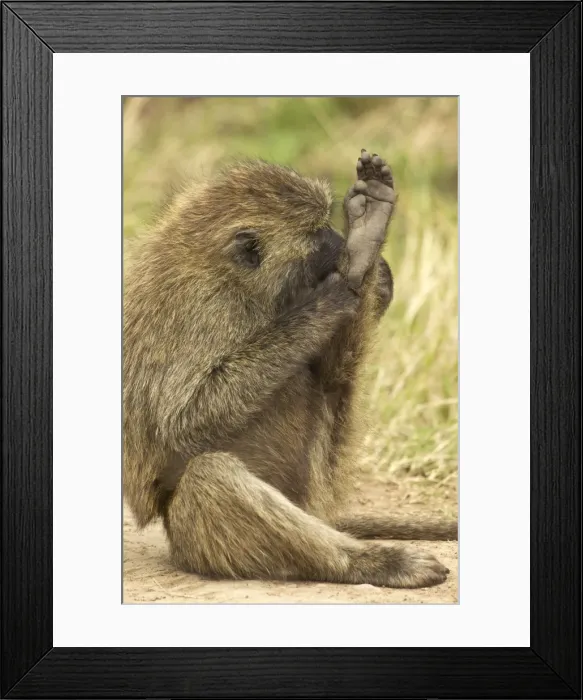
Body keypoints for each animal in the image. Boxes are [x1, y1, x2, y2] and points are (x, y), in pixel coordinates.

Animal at [123, 149, 457, 589]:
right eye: (317, 234)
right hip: (198, 541)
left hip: (315, 483)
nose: (340, 244)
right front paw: (336, 289)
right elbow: (182, 422)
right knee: (211, 476)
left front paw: (364, 252)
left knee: (329, 381)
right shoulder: (199, 310)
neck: (232, 278)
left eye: (327, 225)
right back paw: (377, 563)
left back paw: (366, 243)